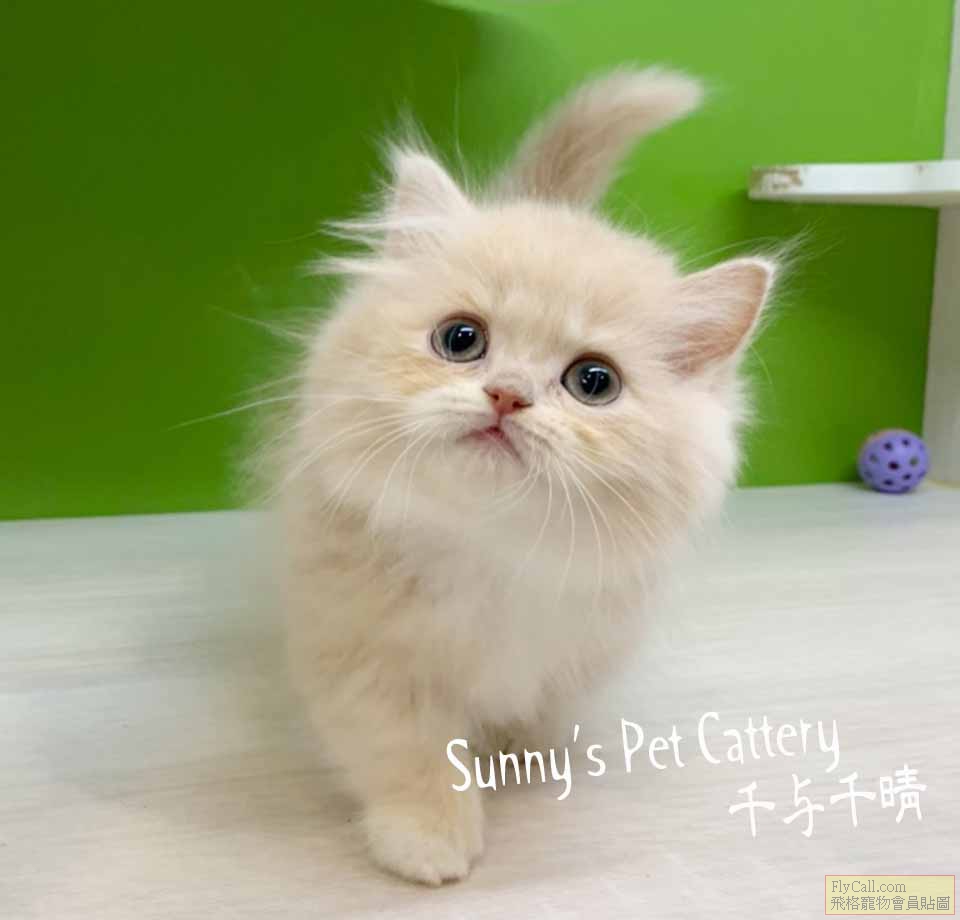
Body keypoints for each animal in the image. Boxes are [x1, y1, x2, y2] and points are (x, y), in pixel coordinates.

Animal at [276, 67, 776, 885]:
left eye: (593, 382)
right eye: (461, 340)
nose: (507, 395)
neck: (494, 552)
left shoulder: (581, 648)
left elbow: (531, 716)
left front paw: (511, 760)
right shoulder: (362, 646)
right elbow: (407, 750)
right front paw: (428, 835)